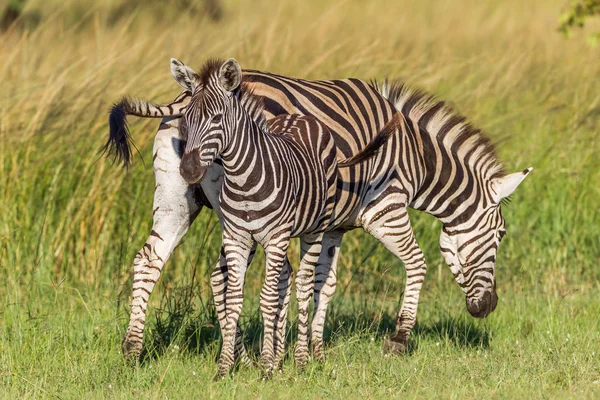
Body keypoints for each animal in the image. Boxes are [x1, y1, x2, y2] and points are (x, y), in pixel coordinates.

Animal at [105, 60, 532, 366]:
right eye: (500, 235)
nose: (489, 307)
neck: (415, 155)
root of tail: (183, 97)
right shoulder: (385, 208)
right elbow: (417, 262)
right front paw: (398, 339)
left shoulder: (336, 225)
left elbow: (324, 283)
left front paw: (314, 351)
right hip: (241, 209)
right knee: (224, 276)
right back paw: (241, 357)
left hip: (176, 197)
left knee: (151, 260)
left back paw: (134, 350)